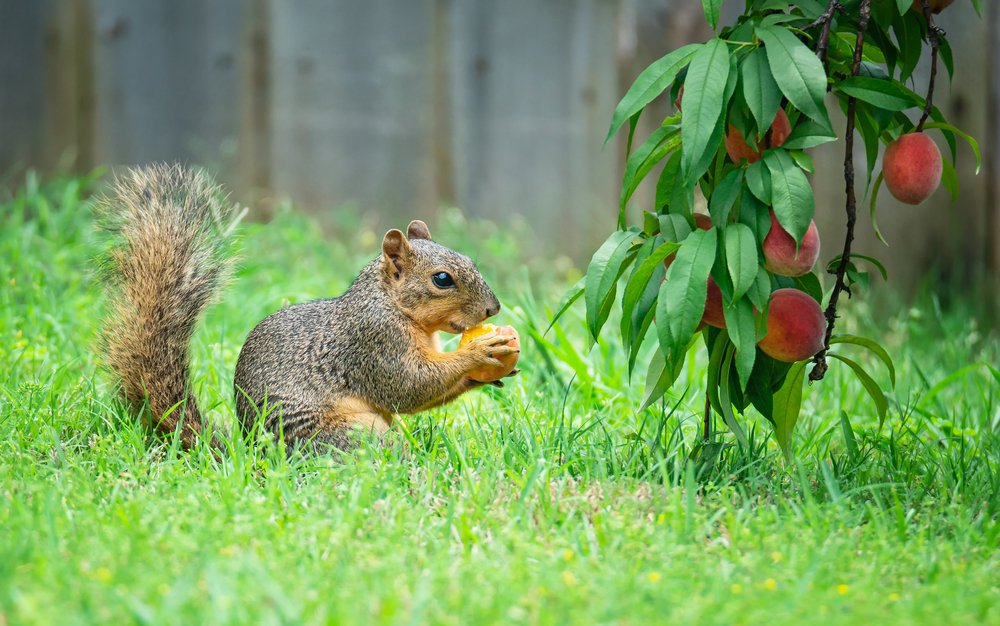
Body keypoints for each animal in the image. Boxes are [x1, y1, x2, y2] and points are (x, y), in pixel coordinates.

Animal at [96, 163, 520, 450]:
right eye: (442, 279)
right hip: (353, 434)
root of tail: (255, 457)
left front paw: (486, 375)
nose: (493, 310)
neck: (391, 305)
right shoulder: (373, 343)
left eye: (470, 259)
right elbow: (408, 386)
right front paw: (480, 351)